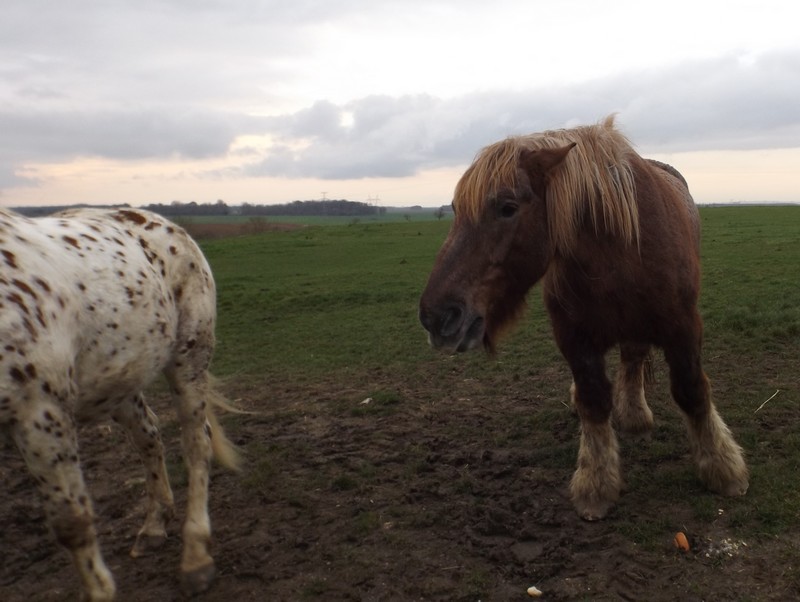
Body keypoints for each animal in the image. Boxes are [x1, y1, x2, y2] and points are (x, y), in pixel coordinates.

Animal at [0, 205, 239, 596]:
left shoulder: (39, 412)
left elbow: (72, 521)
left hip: (188, 360)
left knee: (196, 444)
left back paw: (195, 557)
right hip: (119, 382)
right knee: (150, 436)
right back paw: (154, 526)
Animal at [418, 116, 752, 516]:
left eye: (507, 207)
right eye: (454, 209)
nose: (437, 316)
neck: (618, 251)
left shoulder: (683, 327)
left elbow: (692, 390)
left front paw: (723, 468)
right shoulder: (574, 337)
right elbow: (593, 401)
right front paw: (596, 484)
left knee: (634, 358)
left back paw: (636, 416)